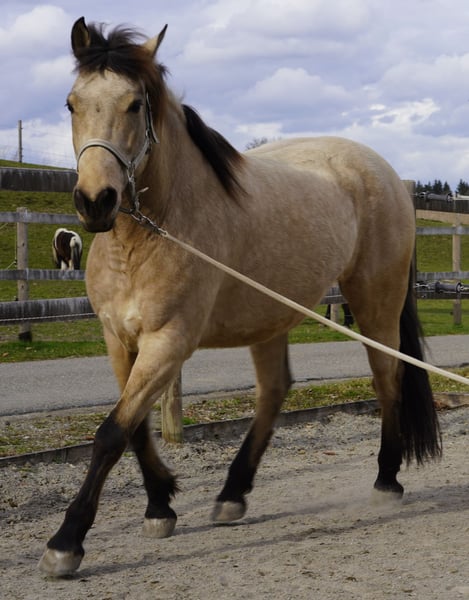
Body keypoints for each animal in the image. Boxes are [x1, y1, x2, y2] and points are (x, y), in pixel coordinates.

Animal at [39, 17, 441, 576]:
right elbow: (134, 428)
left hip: (374, 301)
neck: (150, 235)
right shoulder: (119, 339)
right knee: (274, 391)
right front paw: (160, 505)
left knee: (388, 379)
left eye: (135, 104)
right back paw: (232, 493)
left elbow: (111, 434)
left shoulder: (169, 342)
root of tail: (388, 174)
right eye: (71, 103)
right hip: (269, 317)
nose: (96, 201)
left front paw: (67, 541)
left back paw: (386, 480)